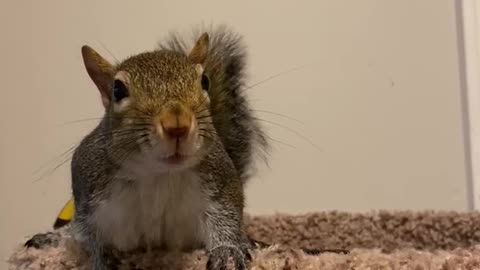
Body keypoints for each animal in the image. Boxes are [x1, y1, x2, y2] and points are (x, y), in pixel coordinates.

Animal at [26, 25, 268, 270]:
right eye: (118, 90)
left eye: (204, 81)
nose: (177, 125)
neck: (156, 172)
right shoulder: (88, 192)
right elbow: (87, 235)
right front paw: (102, 258)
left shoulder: (221, 181)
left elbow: (227, 218)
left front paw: (228, 251)